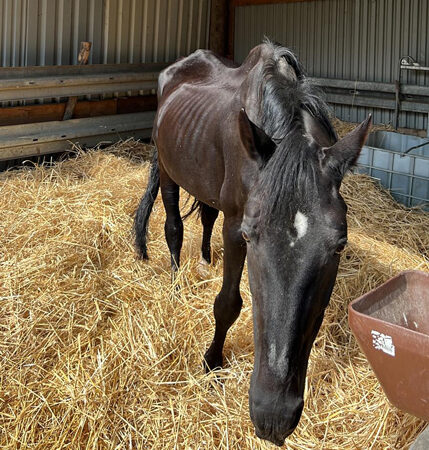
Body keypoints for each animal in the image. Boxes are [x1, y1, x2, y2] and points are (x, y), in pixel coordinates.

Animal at [135, 41, 372, 446]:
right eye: (249, 235)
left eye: (340, 245)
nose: (273, 416)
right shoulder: (235, 225)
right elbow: (227, 303)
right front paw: (212, 362)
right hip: (168, 172)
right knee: (172, 228)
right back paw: (176, 283)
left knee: (205, 216)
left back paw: (205, 260)